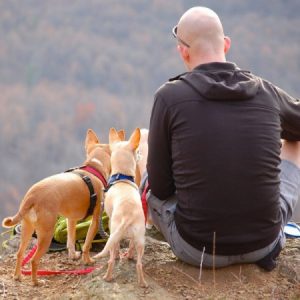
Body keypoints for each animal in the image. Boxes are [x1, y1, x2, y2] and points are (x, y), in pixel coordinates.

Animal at [1, 129, 111, 286]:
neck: (93, 168)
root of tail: (31, 196)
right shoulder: (96, 220)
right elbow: (87, 244)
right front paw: (88, 260)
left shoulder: (71, 219)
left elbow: (71, 240)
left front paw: (73, 255)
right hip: (46, 234)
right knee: (34, 260)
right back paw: (36, 282)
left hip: (27, 229)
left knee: (20, 253)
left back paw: (18, 277)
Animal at [92, 127, 146, 288]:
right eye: (137, 151)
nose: (140, 154)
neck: (121, 178)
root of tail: (127, 217)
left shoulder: (110, 220)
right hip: (140, 239)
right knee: (139, 262)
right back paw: (142, 282)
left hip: (114, 233)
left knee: (111, 258)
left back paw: (107, 277)